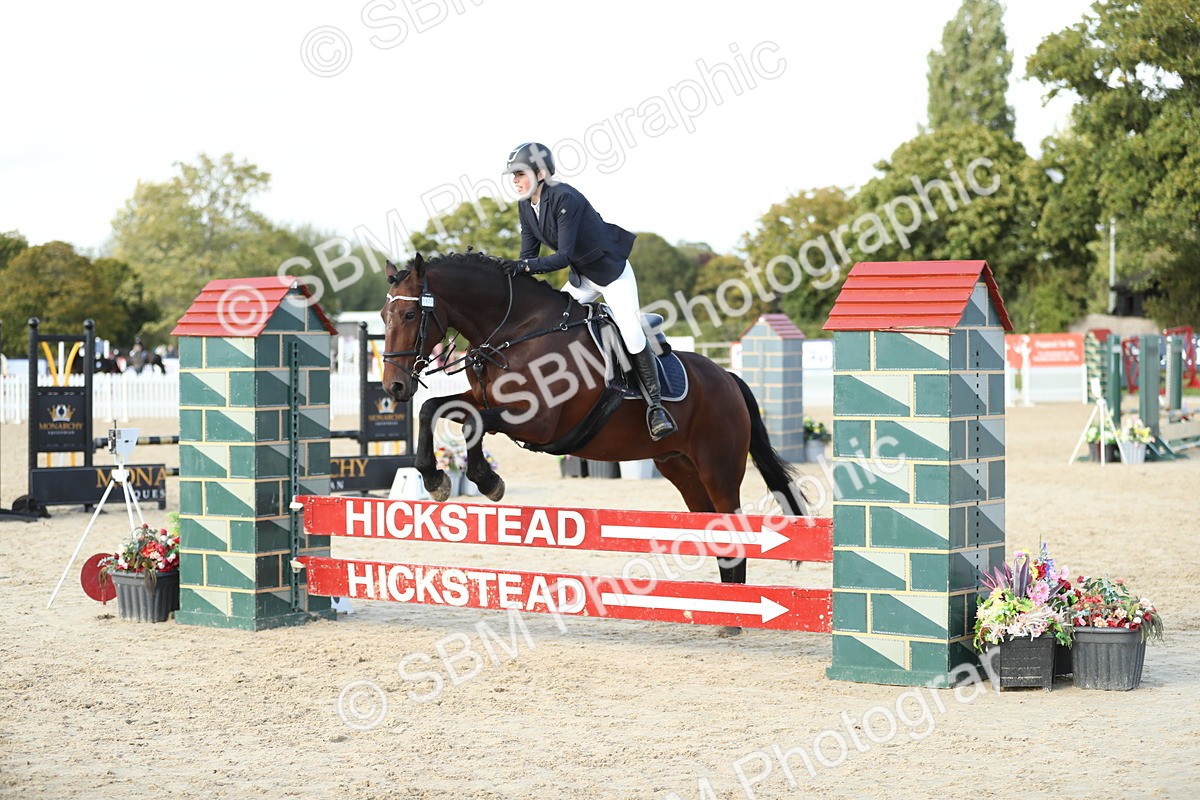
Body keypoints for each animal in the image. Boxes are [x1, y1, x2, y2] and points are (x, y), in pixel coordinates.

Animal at [380, 252, 808, 606]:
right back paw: (726, 612)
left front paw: (487, 480)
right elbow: (434, 409)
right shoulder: (483, 399)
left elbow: (474, 423)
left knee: (733, 529)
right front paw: (434, 478)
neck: (513, 331)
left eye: (409, 316)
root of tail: (728, 378)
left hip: (718, 470)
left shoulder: (536, 420)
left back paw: (736, 615)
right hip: (681, 469)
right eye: (384, 317)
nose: (394, 387)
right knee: (715, 531)